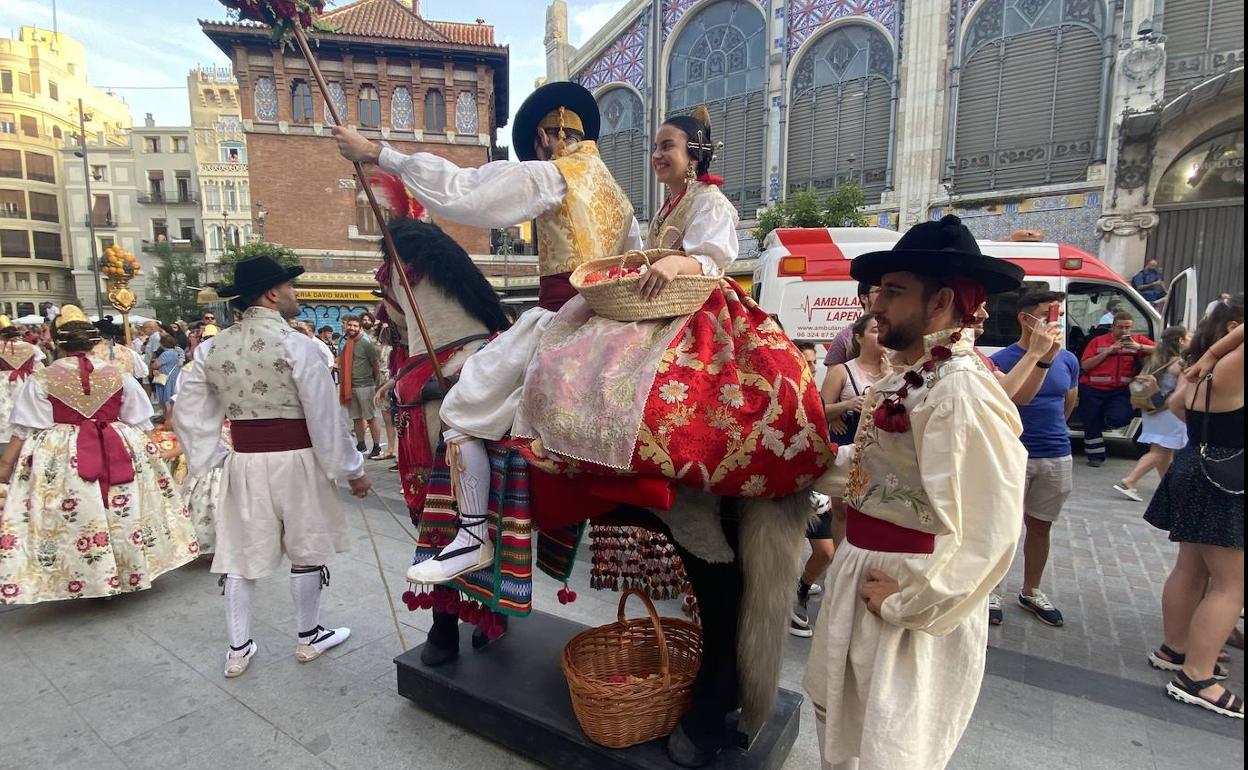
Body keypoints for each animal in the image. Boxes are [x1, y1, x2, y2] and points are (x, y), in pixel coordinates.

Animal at [374, 219, 813, 763]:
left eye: (382, 274)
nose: (379, 320)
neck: (450, 360)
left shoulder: (428, 494)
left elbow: (444, 570)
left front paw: (440, 639)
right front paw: (487, 626)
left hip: (694, 523)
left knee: (723, 596)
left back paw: (697, 731)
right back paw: (729, 718)